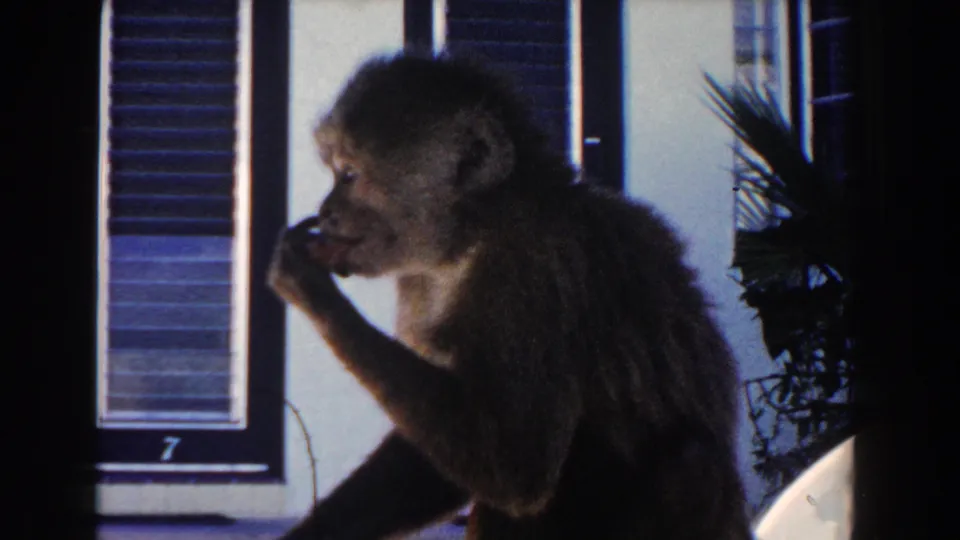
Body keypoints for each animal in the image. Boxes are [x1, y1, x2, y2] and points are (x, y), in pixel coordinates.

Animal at [269, 50, 753, 540]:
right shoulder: (423, 286)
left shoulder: (532, 269)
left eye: (348, 175)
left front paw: (313, 292)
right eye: (336, 173)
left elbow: (516, 469)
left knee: (688, 465)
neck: (477, 232)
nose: (327, 212)